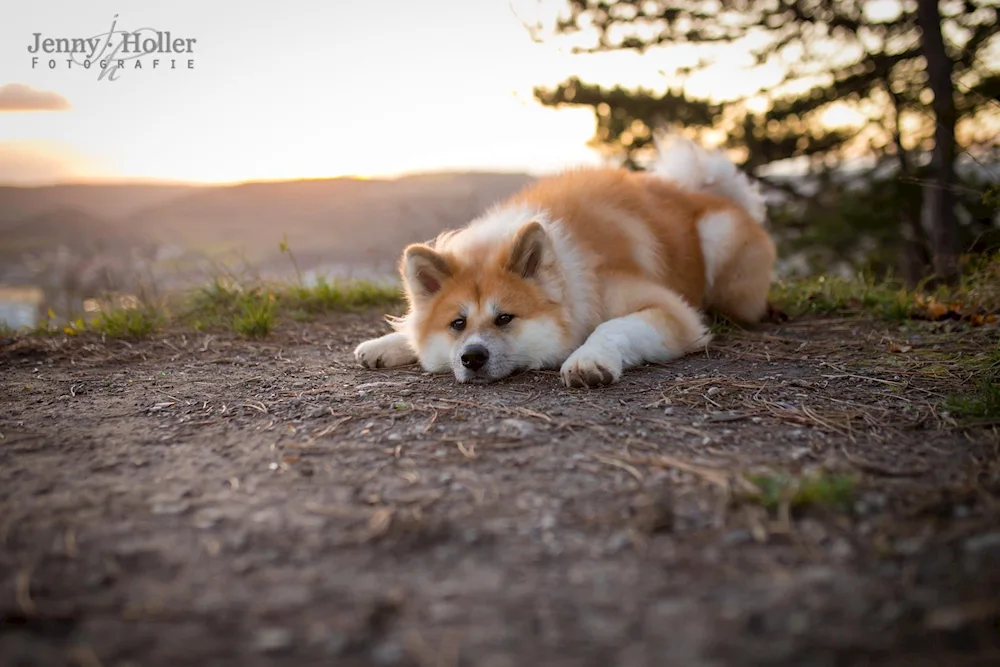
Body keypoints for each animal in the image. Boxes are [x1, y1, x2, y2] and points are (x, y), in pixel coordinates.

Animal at [356, 134, 776, 388]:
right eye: (457, 324)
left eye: (505, 318)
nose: (472, 356)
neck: (575, 274)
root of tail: (702, 193)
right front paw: (388, 343)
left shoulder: (671, 312)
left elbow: (612, 326)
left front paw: (587, 358)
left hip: (719, 237)